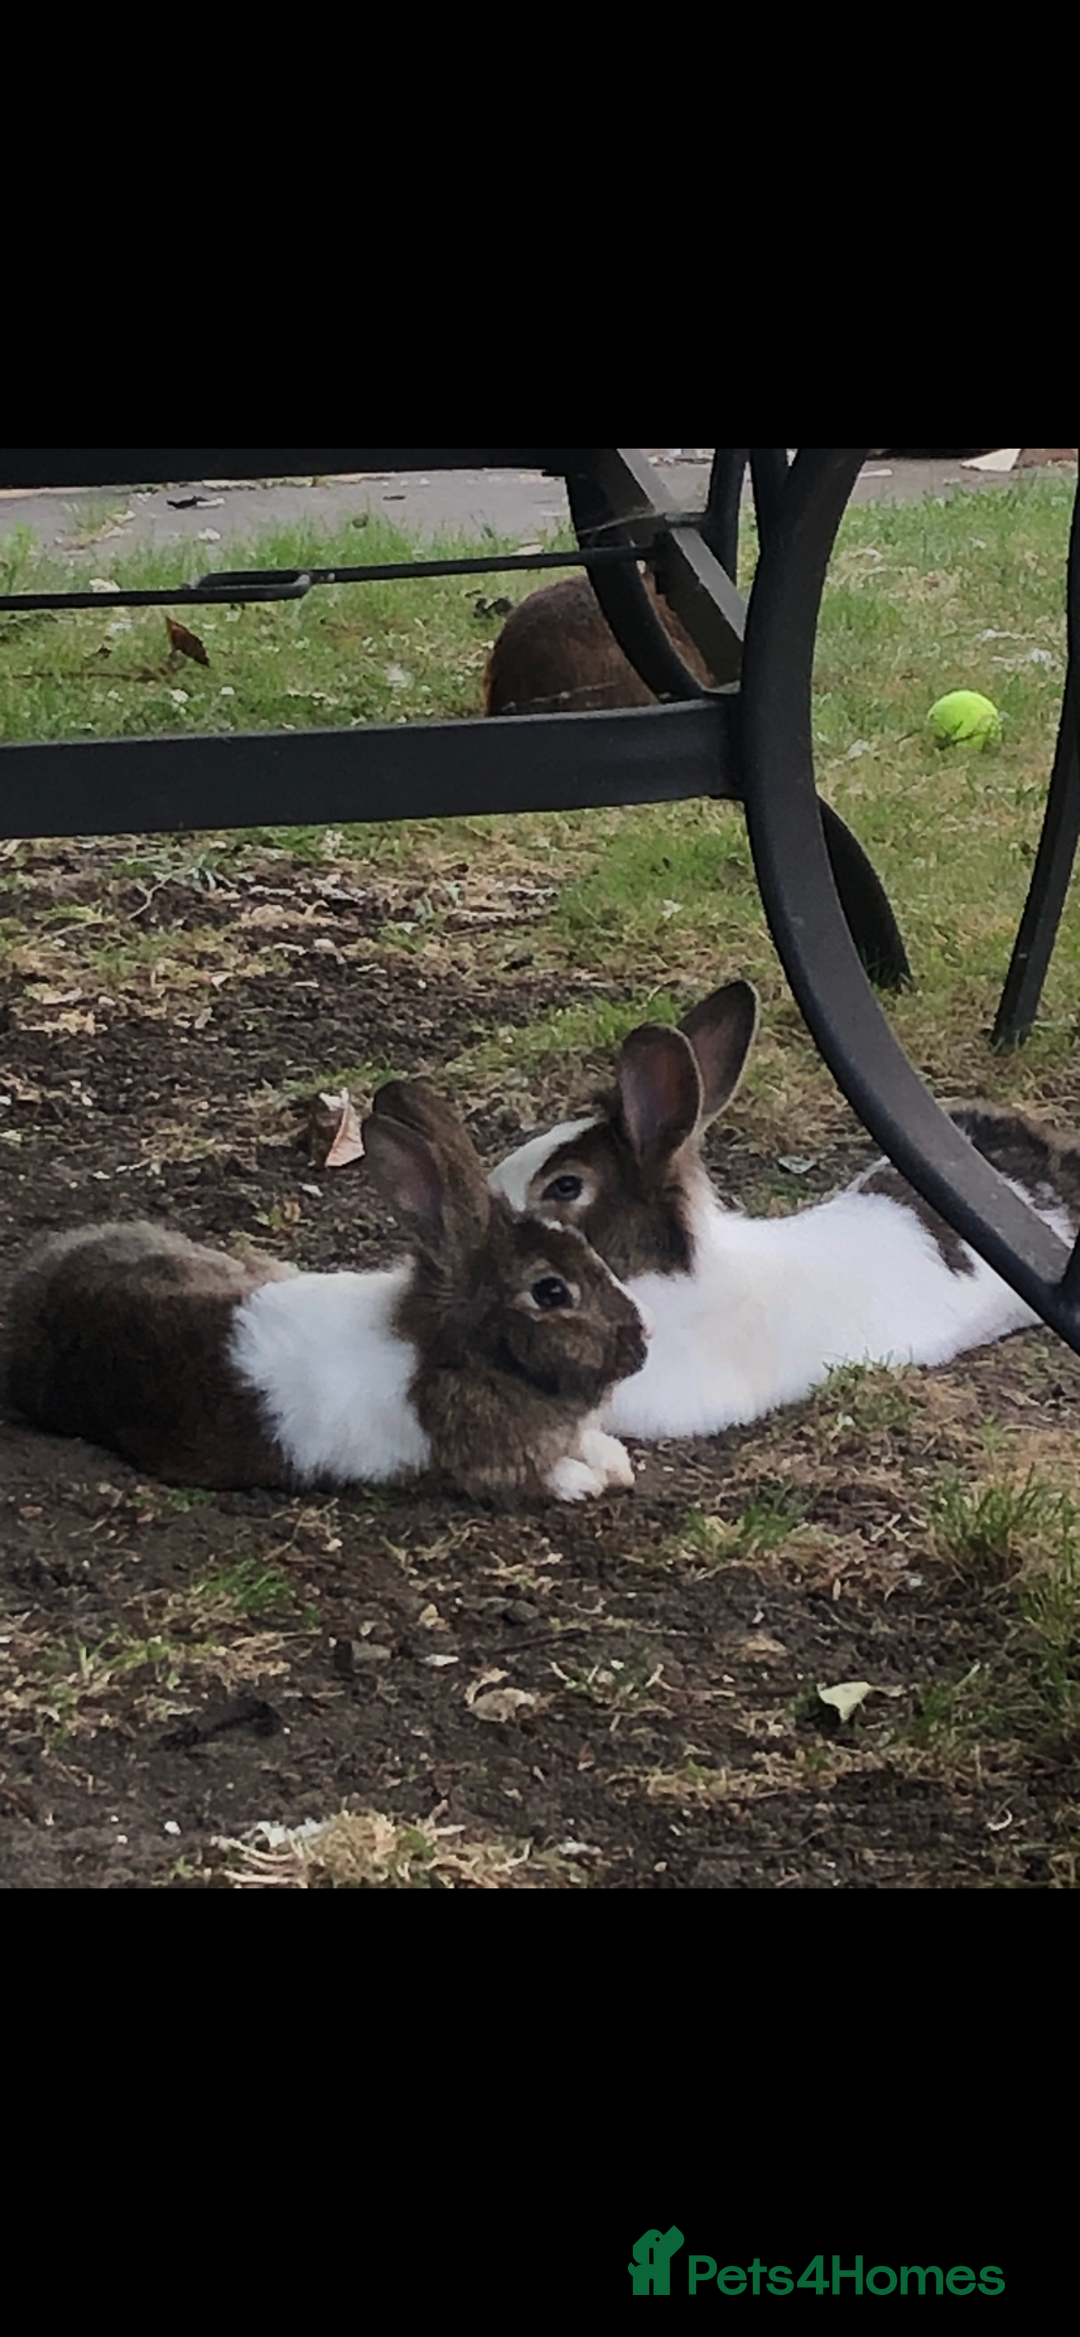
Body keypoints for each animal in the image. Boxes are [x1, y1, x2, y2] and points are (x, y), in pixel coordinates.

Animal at [3, 1080, 649, 1504]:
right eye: (551, 1292)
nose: (639, 1347)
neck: (452, 1352)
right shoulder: (480, 1462)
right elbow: (542, 1477)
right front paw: (589, 1480)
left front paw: (612, 1462)